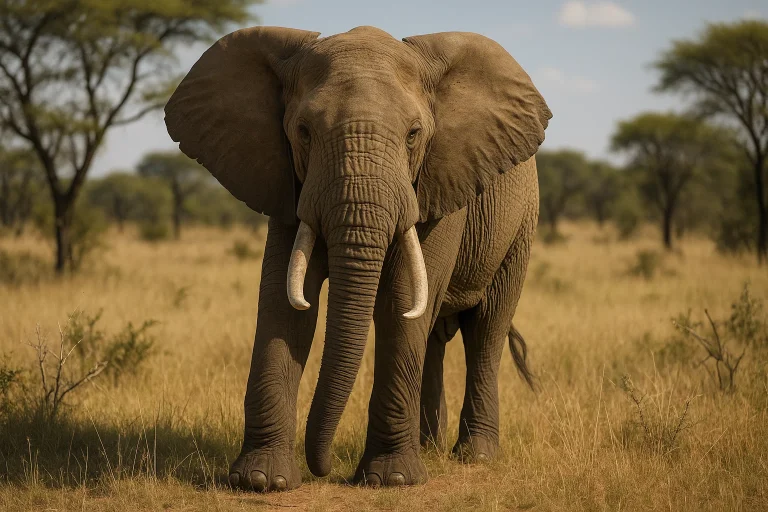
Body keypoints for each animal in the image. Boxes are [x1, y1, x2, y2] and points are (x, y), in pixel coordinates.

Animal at [164, 25, 551, 492]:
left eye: (413, 134)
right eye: (303, 131)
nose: (324, 469)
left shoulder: (438, 183)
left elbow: (400, 300)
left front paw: (393, 479)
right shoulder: (288, 182)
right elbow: (283, 301)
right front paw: (260, 480)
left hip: (521, 226)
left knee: (486, 329)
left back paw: (473, 455)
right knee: (435, 338)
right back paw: (430, 447)